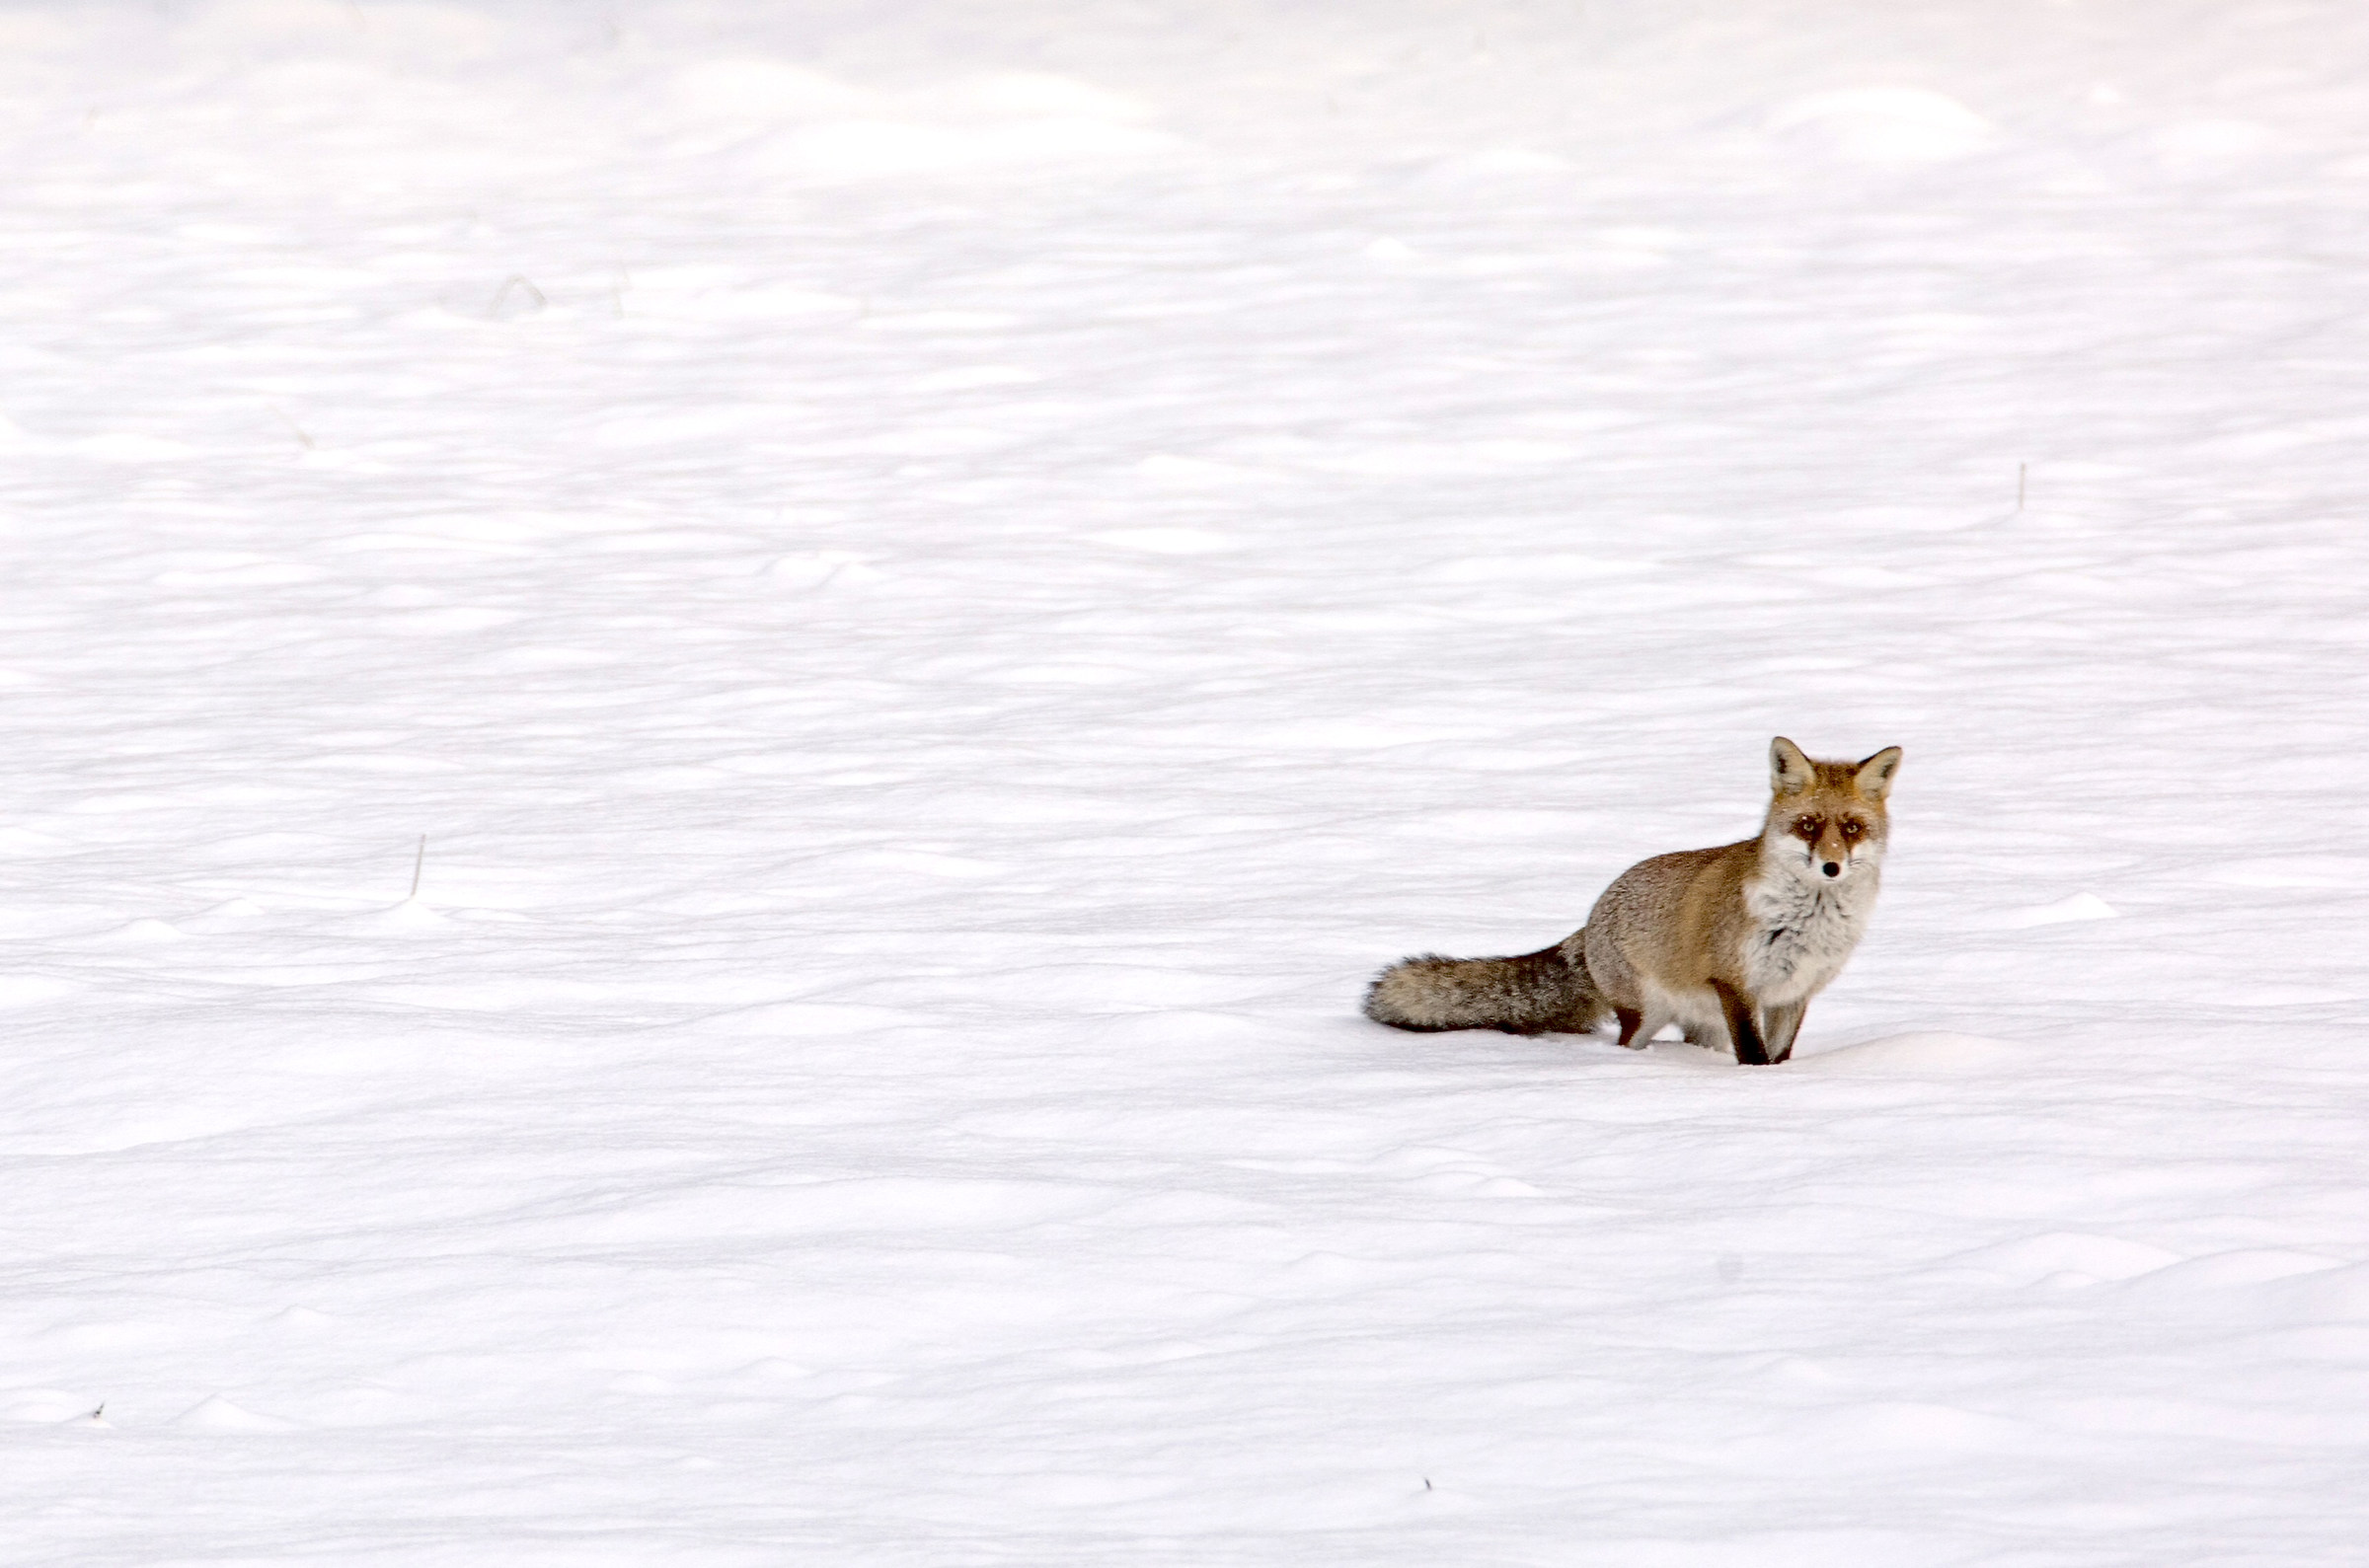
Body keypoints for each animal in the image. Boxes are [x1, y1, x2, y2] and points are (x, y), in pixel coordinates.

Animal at [1363, 737, 1902, 1066]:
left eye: (1851, 828)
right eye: (1809, 825)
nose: (1831, 868)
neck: (1808, 920)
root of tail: (1591, 917)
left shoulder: (1794, 994)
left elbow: (1779, 1057)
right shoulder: (1737, 985)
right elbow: (1754, 1058)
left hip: (1703, 1024)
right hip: (1646, 1015)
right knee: (1627, 1044)